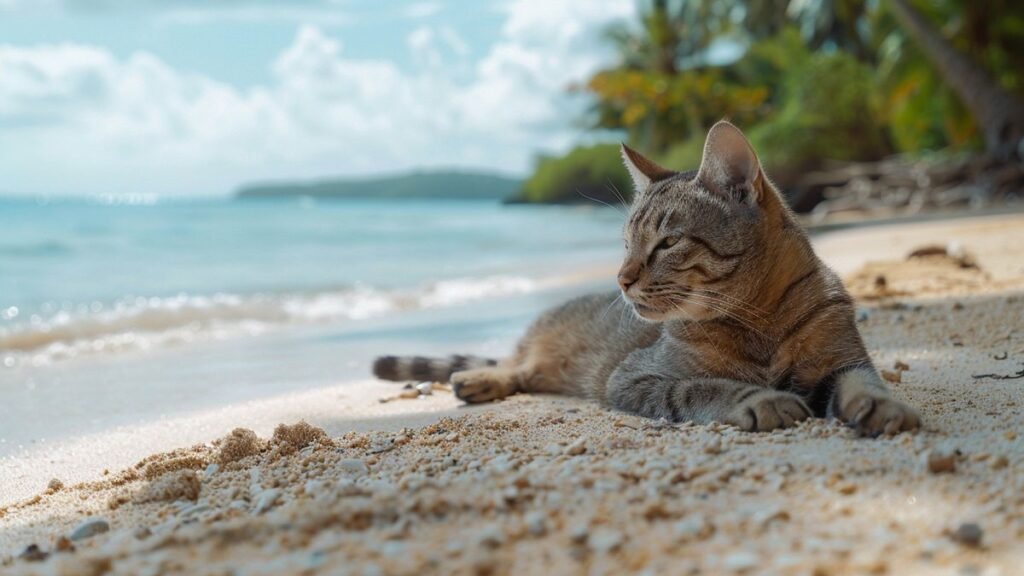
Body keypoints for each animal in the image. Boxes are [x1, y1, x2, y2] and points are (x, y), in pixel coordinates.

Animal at [374, 121, 921, 434]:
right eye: (625, 244)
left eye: (666, 243)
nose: (620, 278)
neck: (758, 319)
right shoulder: (635, 376)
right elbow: (704, 388)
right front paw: (760, 399)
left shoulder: (844, 359)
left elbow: (864, 382)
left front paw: (880, 406)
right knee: (515, 364)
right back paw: (479, 377)